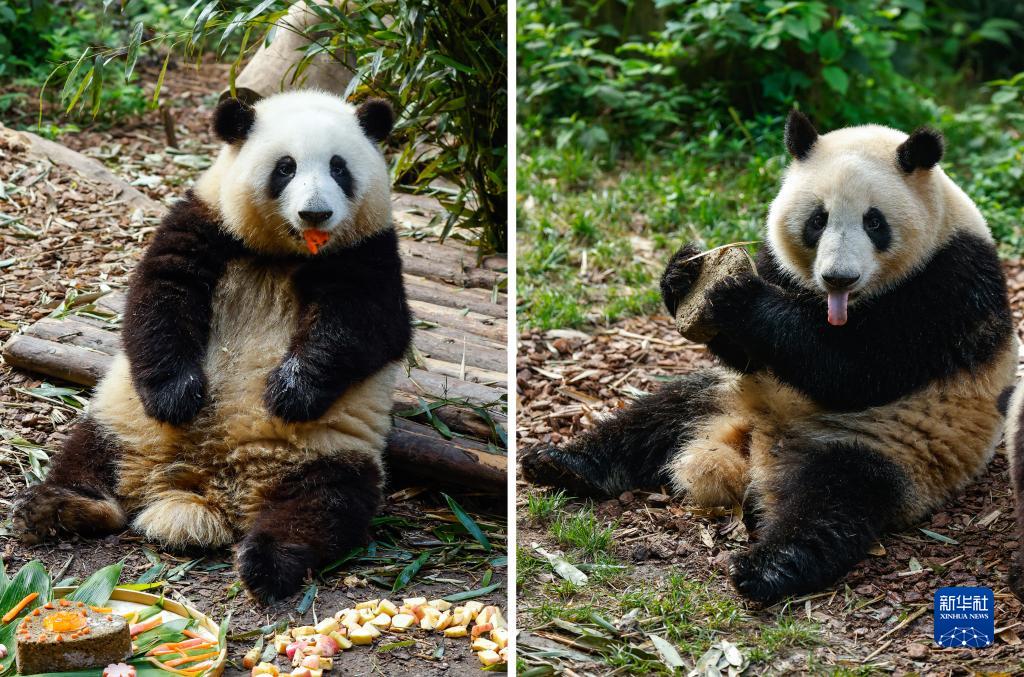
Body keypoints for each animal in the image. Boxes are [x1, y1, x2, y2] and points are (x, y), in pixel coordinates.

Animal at [12, 91, 411, 602]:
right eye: (286, 167)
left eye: (339, 167)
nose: (316, 213)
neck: (286, 254)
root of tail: (207, 487)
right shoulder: (205, 221)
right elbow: (158, 296)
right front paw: (178, 397)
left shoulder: (370, 250)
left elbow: (368, 326)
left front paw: (289, 392)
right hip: (123, 418)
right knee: (89, 457)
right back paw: (54, 509)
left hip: (331, 450)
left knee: (325, 506)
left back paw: (269, 562)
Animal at [524, 109, 1019, 602]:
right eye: (818, 220)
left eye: (874, 222)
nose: (838, 277)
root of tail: (757, 446)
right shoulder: (780, 267)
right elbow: (751, 353)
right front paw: (683, 276)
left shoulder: (947, 284)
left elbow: (856, 369)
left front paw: (737, 296)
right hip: (725, 396)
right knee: (654, 419)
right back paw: (560, 463)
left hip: (886, 443)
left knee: (833, 500)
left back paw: (764, 565)